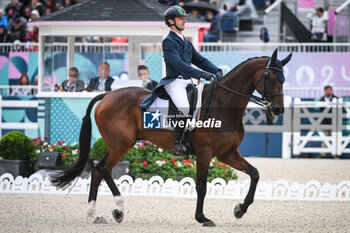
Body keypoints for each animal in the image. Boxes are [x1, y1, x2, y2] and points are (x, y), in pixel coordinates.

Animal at [51, 48, 292, 226]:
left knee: (100, 170)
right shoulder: (205, 153)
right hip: (121, 144)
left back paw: (105, 213)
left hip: (120, 144)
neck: (223, 104)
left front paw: (240, 209)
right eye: (272, 78)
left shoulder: (227, 154)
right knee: (102, 169)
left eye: (283, 78)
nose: (278, 109)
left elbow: (255, 174)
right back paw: (110, 210)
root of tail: (107, 94)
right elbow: (202, 186)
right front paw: (202, 218)